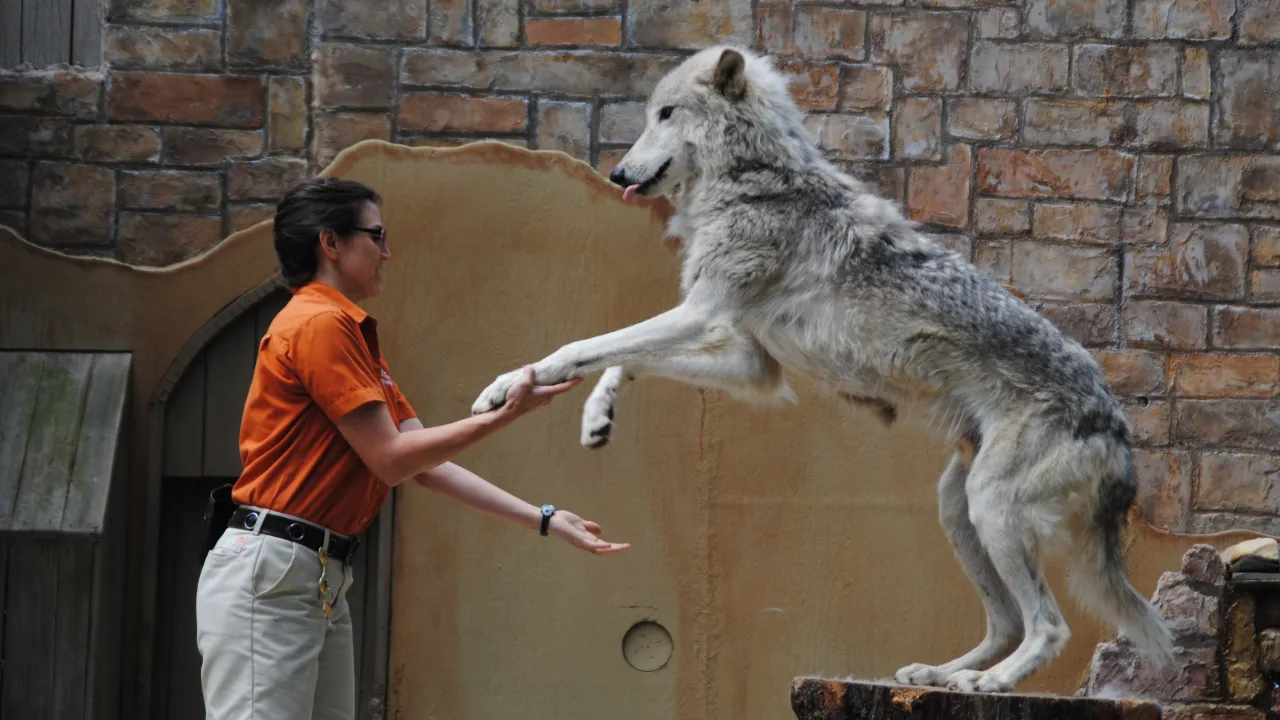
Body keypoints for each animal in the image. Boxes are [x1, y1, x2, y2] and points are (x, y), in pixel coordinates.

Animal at [470, 45, 1175, 693]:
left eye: (665, 115)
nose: (617, 170)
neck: (754, 180)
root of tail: (1118, 427)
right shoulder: (751, 362)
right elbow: (625, 360)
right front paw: (595, 413)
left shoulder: (703, 314)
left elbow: (585, 344)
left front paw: (509, 386)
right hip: (958, 508)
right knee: (1004, 623)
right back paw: (939, 674)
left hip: (992, 509)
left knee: (1048, 626)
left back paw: (989, 684)